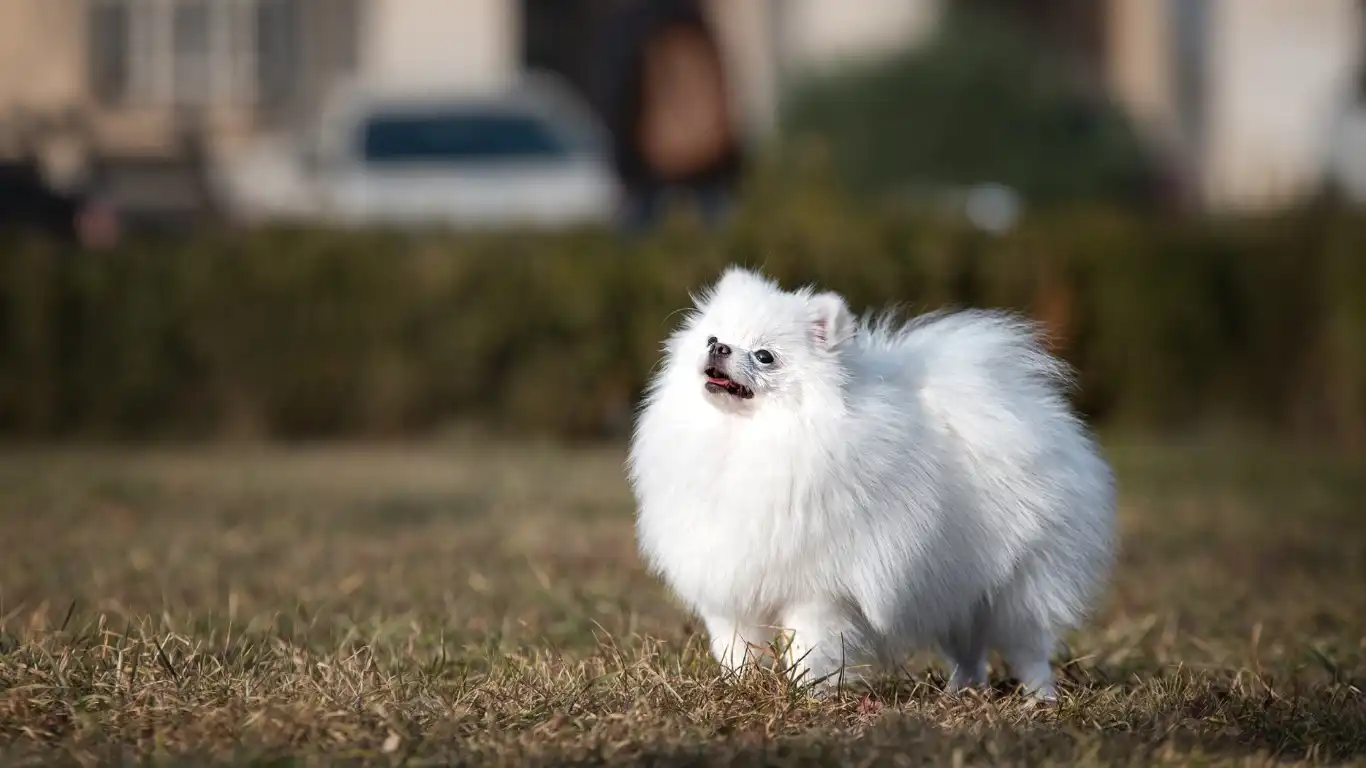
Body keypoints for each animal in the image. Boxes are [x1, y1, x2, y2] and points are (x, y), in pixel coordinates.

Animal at [625, 266, 1114, 696]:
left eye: (764, 355)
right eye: (712, 339)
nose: (720, 349)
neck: (744, 439)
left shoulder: (819, 591)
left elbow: (809, 647)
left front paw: (807, 694)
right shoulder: (731, 587)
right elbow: (736, 648)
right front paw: (739, 687)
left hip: (1019, 587)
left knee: (1028, 648)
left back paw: (1040, 697)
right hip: (954, 586)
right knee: (969, 651)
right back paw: (960, 693)